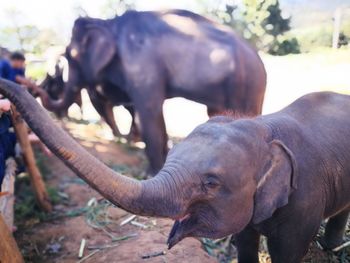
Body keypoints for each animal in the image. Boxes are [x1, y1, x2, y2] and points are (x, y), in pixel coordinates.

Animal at [36, 8, 266, 173]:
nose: (36, 89)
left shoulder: (142, 64)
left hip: (247, 85)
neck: (108, 23)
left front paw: (151, 173)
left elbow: (148, 112)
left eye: (69, 55)